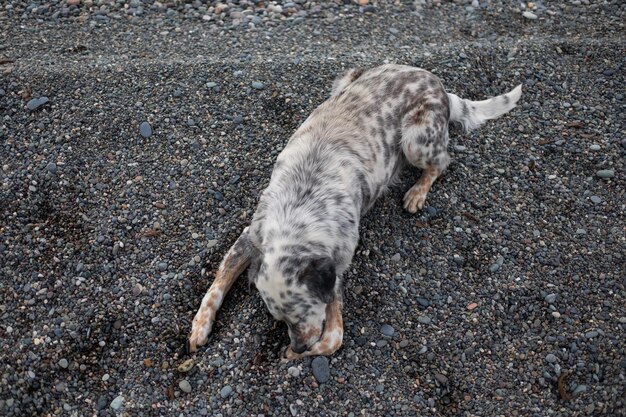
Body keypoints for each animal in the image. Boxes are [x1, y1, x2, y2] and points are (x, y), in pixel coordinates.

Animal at [188, 63, 520, 360]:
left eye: (301, 314)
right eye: (278, 318)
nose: (298, 346)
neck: (300, 203)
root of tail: (437, 83)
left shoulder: (338, 265)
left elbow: (333, 338)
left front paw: (295, 354)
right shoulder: (252, 235)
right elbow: (216, 286)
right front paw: (200, 325)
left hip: (416, 140)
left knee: (443, 161)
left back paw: (417, 192)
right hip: (345, 80)